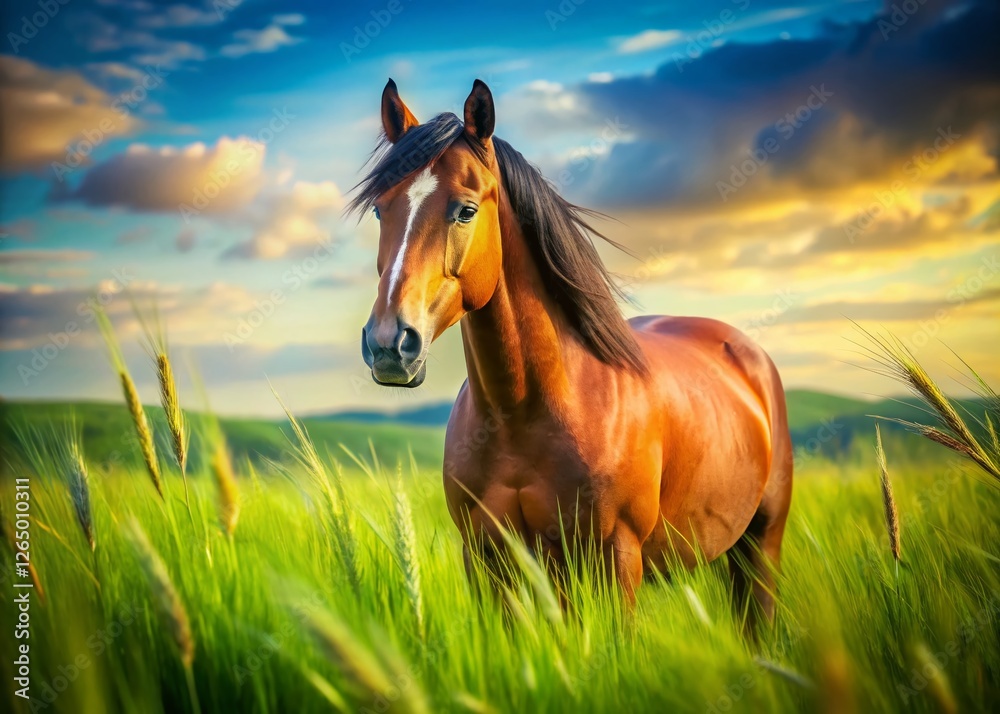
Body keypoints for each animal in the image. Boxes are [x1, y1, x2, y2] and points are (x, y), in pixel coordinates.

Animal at [352, 78, 793, 630]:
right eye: (379, 209)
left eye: (466, 210)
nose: (390, 345)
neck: (528, 411)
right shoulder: (489, 561)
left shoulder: (616, 561)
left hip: (761, 547)